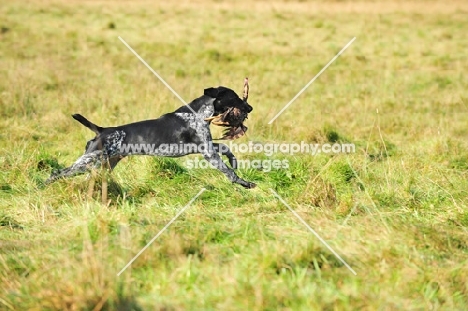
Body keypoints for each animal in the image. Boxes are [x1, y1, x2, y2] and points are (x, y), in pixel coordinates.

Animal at [45, 81, 254, 191]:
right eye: (235, 97)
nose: (250, 108)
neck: (198, 113)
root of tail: (101, 130)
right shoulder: (207, 152)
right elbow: (229, 172)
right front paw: (245, 183)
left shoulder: (206, 146)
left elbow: (226, 148)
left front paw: (234, 160)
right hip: (88, 161)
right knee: (57, 173)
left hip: (103, 164)